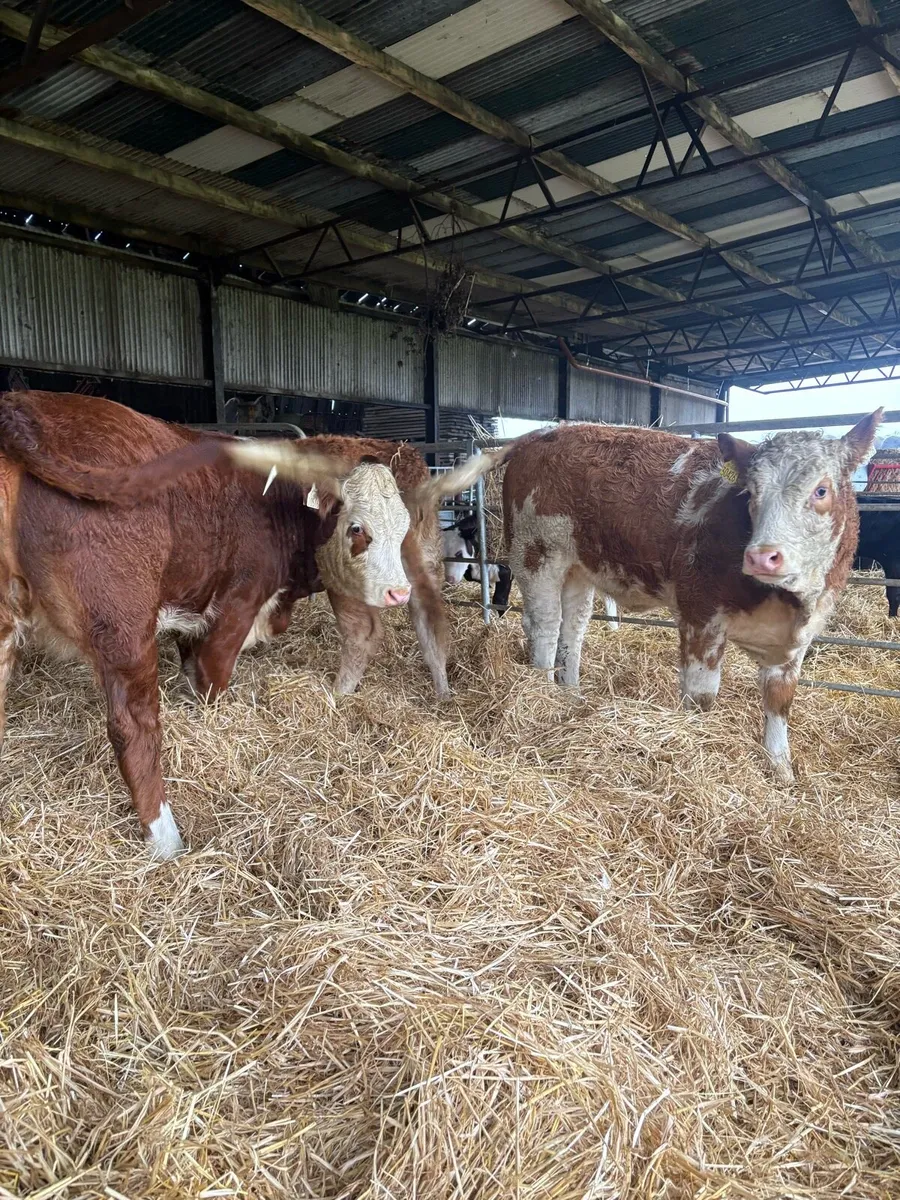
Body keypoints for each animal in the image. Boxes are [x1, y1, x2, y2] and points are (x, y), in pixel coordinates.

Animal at [0, 391, 504, 858]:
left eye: (400, 527)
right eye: (357, 528)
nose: (396, 591)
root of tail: (23, 403)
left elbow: (195, 675)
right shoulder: (235, 608)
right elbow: (211, 681)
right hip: (124, 626)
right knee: (134, 727)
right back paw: (166, 840)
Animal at [503, 413, 881, 783]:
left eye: (821, 490)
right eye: (751, 493)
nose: (762, 557)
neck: (785, 602)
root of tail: (543, 433)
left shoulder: (798, 640)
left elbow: (779, 701)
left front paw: (781, 770)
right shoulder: (701, 614)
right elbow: (702, 696)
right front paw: (699, 745)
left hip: (578, 567)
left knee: (574, 626)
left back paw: (570, 693)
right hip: (535, 552)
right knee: (545, 625)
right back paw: (542, 694)